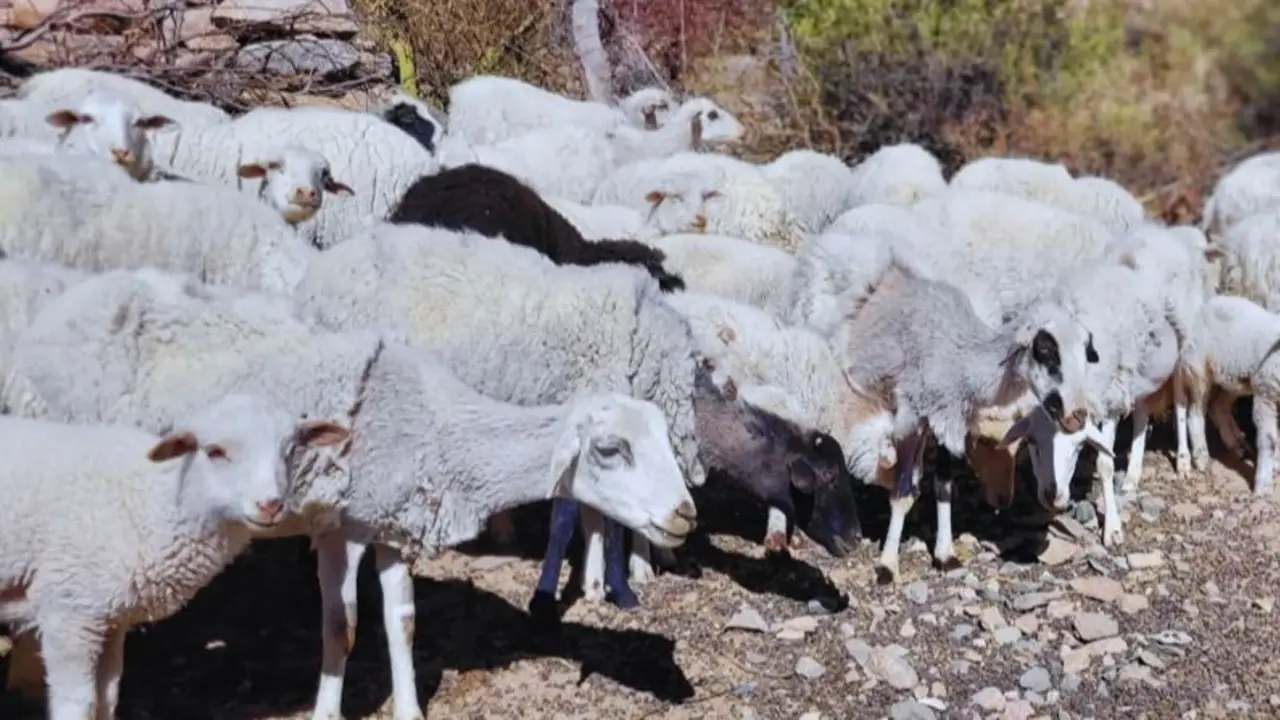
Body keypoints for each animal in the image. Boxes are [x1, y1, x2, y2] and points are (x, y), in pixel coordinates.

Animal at [0, 393, 350, 720]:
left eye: (290, 451)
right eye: (214, 452)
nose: (270, 505)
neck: (147, 505)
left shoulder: (109, 616)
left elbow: (107, 698)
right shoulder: (68, 611)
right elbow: (78, 704)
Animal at [831, 262, 1100, 582]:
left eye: (1086, 353)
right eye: (1045, 350)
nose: (1077, 416)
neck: (961, 359)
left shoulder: (948, 420)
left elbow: (944, 486)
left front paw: (945, 555)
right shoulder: (912, 414)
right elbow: (902, 491)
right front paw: (887, 564)